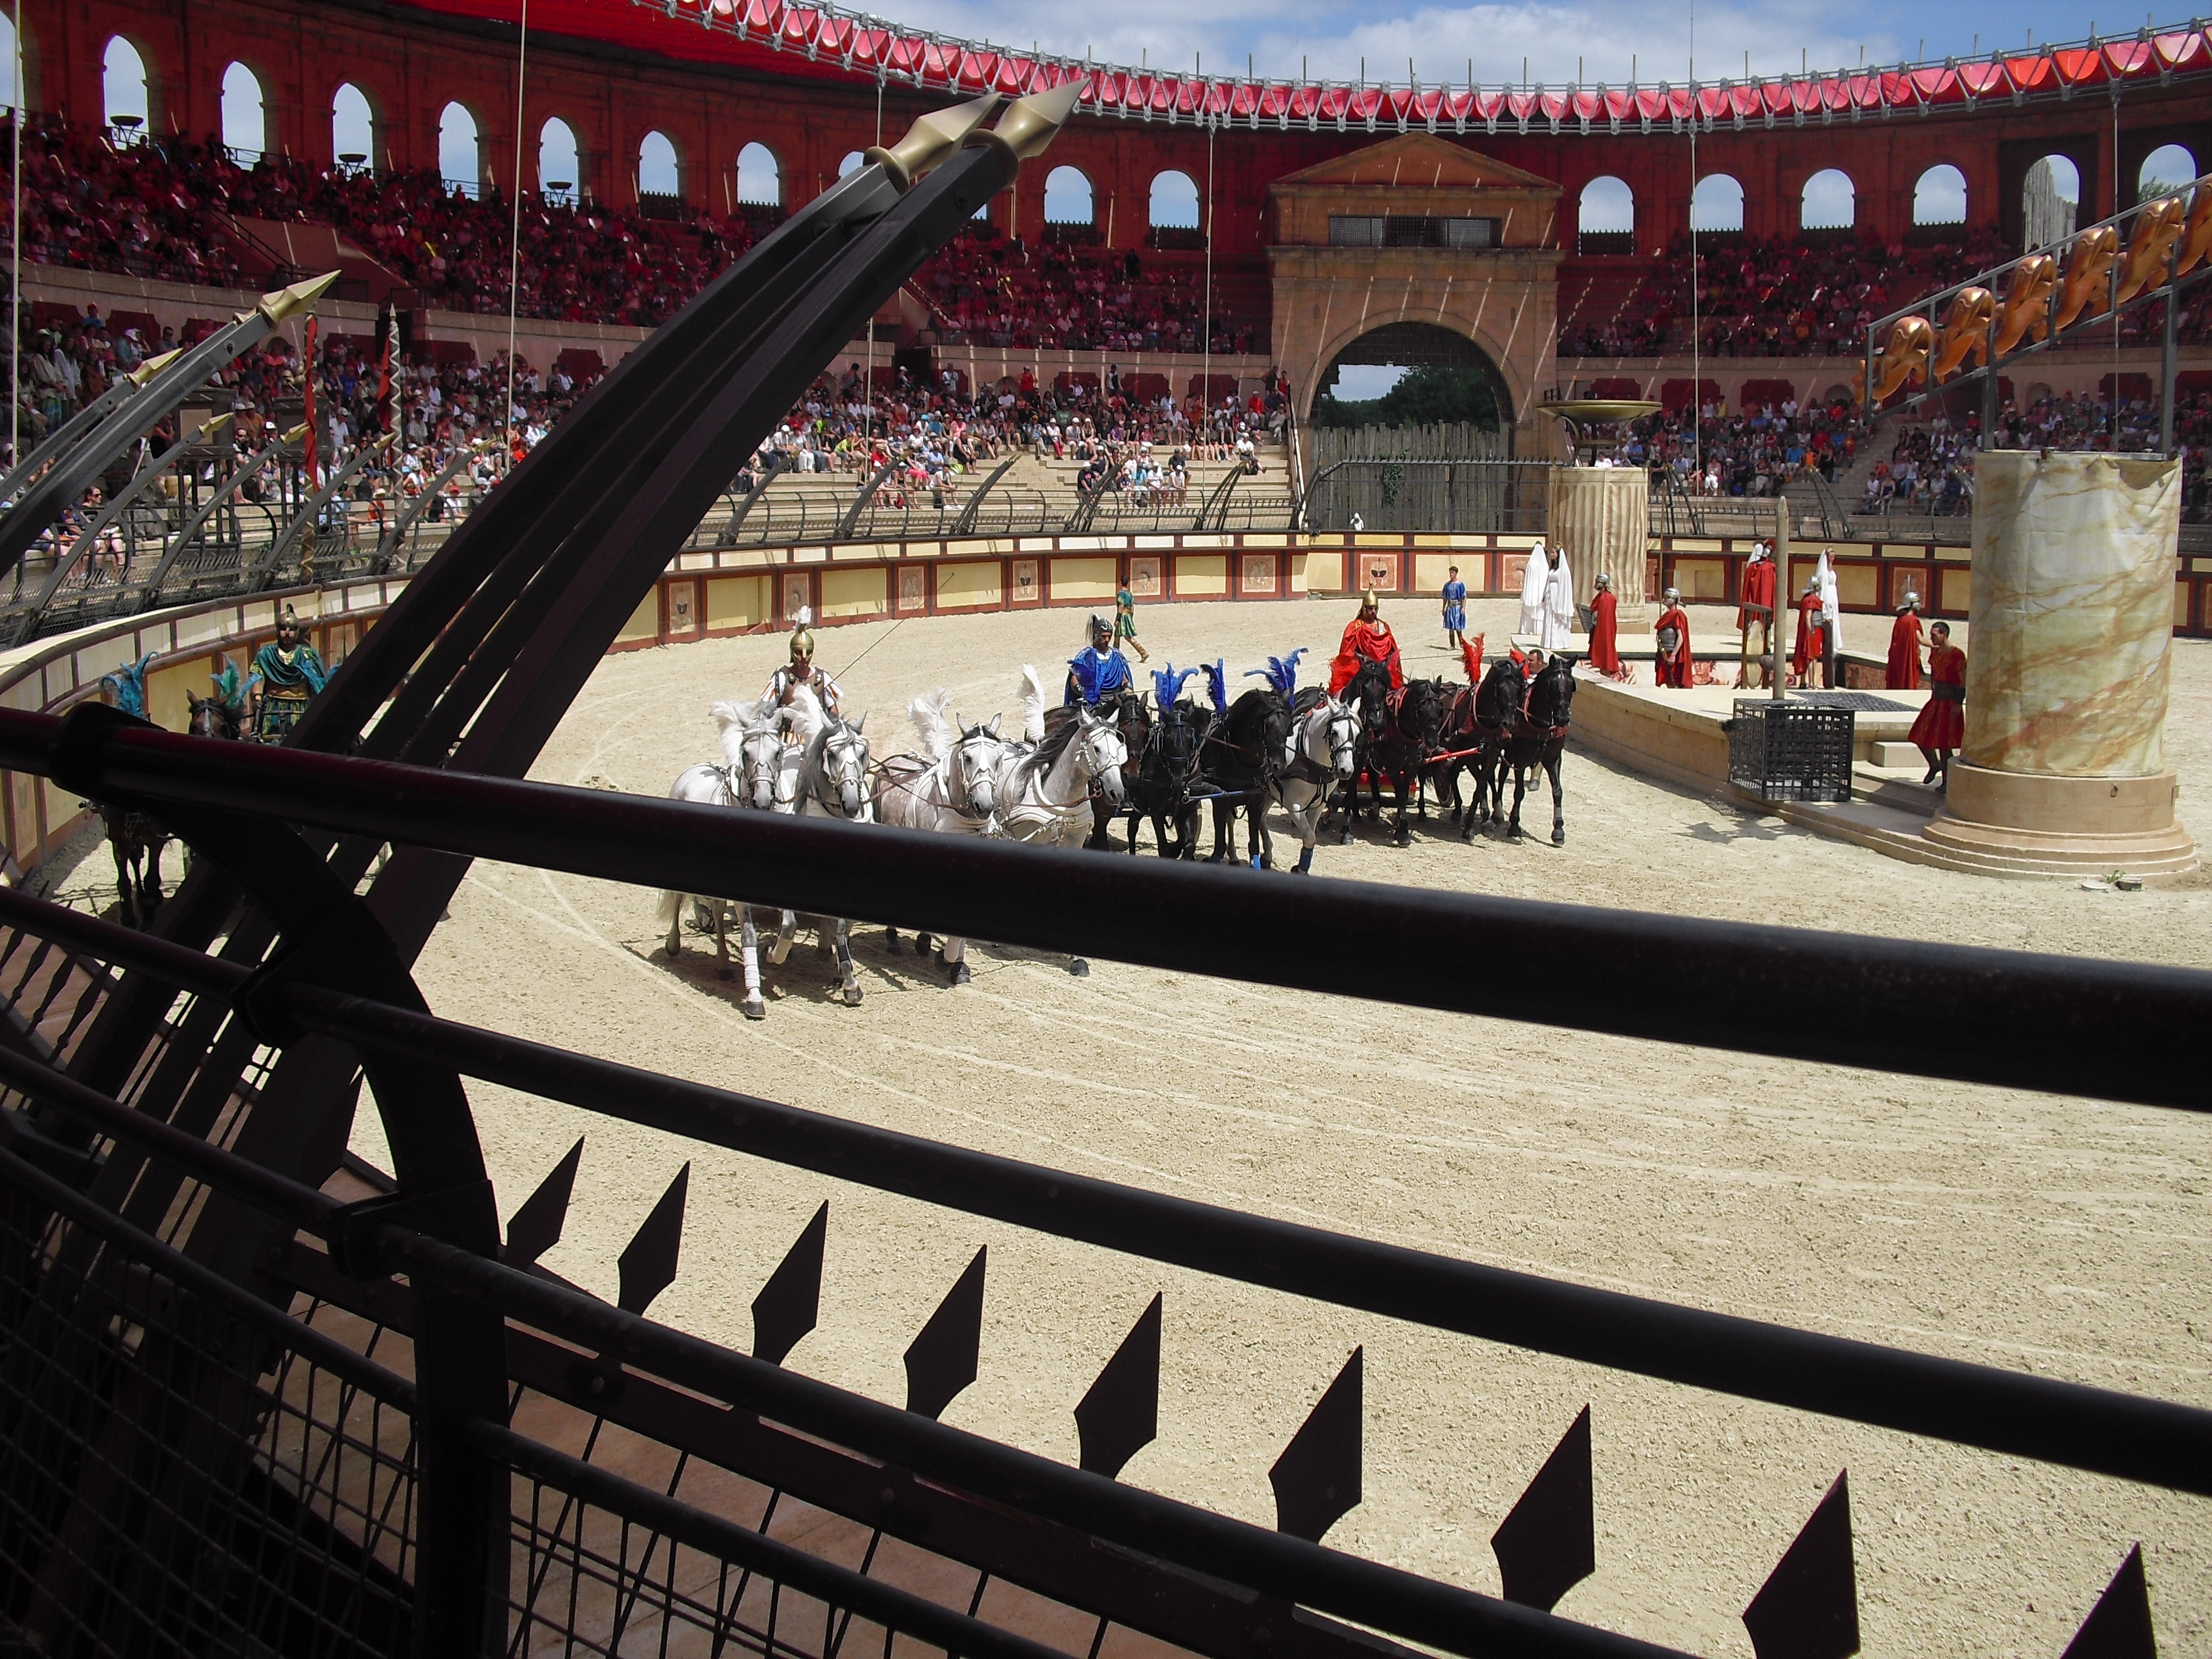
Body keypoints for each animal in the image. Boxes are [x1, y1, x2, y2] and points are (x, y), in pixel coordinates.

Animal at [650, 694, 791, 1022]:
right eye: (745, 752)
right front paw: (754, 998)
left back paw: (724, 964)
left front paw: (773, 955)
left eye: (778, 751)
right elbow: (749, 935)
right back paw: (674, 945)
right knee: (680, 898)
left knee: (715, 908)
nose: (763, 800)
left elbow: (788, 927)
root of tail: (690, 772)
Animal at [876, 690, 1022, 987]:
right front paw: (946, 960)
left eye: (998, 758)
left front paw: (957, 965)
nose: (984, 805)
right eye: (968, 758)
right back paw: (894, 938)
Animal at [1274, 694, 1353, 876]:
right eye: (1334, 732)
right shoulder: (1294, 806)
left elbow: (1311, 835)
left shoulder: (1318, 805)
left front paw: (1301, 868)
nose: (1347, 770)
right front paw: (1301, 869)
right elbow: (1310, 837)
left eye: (1357, 733)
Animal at [1504, 654, 1575, 849]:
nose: (1562, 718)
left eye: (1571, 686)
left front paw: (1559, 830)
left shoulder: (1553, 759)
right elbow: (1519, 792)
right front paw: (1514, 824)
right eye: (1552, 685)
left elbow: (1558, 792)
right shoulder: (1520, 760)